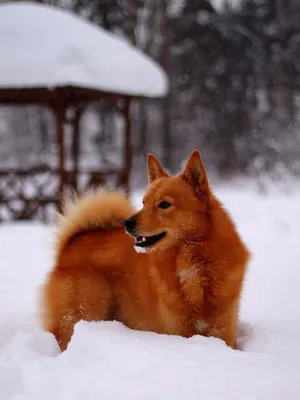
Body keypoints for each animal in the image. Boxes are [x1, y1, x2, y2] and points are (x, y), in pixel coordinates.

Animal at [41, 150, 250, 350]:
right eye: (144, 202)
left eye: (164, 204)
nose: (127, 223)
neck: (193, 265)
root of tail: (72, 242)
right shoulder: (179, 332)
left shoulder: (222, 332)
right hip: (84, 312)